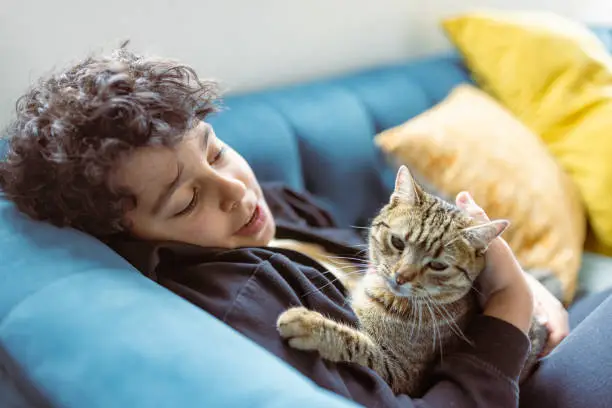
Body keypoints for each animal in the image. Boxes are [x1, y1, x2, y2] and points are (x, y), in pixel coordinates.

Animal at [276, 165, 544, 396]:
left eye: (438, 265)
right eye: (397, 242)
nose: (401, 276)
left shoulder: (403, 375)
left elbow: (358, 344)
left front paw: (308, 324)